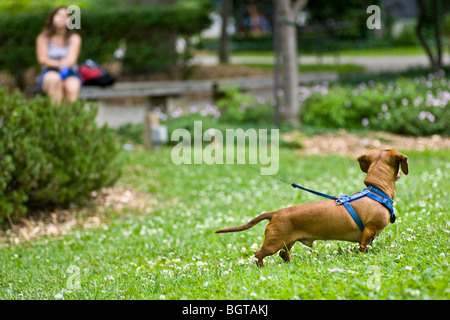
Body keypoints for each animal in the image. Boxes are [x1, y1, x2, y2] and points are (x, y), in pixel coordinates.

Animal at [214, 149, 408, 266]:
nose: (400, 174)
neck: (376, 191)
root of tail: (276, 213)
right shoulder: (369, 231)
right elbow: (364, 246)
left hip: (287, 242)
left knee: (283, 254)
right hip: (272, 243)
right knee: (258, 254)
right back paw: (261, 267)